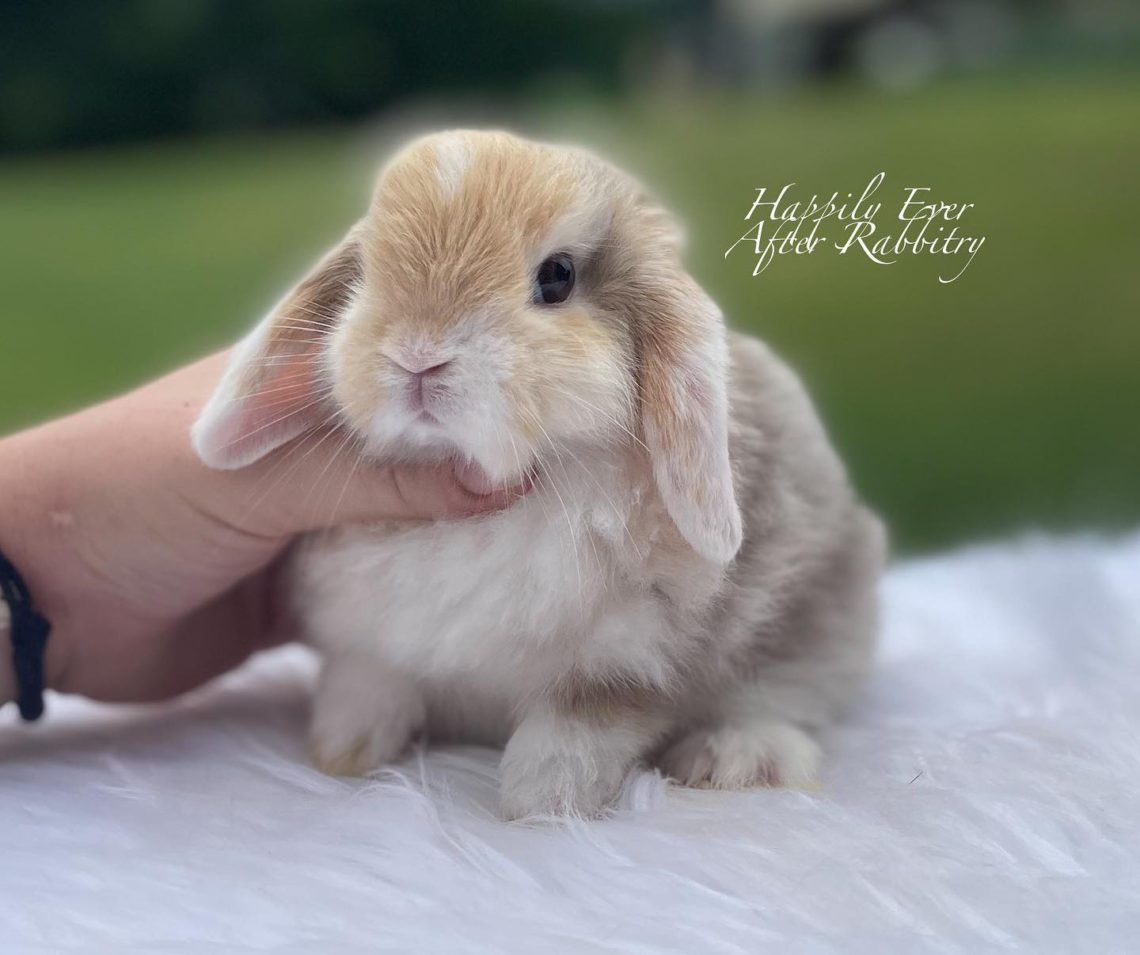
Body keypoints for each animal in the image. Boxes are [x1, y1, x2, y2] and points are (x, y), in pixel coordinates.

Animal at [193, 128, 889, 820]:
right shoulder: (370, 632)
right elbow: (369, 678)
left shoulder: (627, 659)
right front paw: (344, 750)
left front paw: (540, 805)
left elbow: (578, 728)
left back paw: (733, 759)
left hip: (820, 615)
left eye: (558, 277)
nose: (417, 356)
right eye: (364, 271)